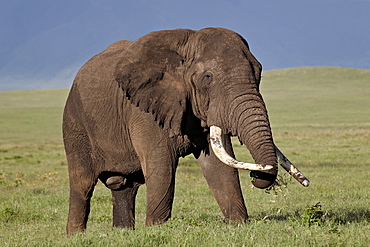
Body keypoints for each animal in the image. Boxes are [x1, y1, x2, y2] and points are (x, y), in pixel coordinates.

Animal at [63, 28, 310, 234]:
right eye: (207, 78)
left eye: (258, 72)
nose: (256, 175)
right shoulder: (145, 109)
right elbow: (161, 167)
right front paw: (156, 230)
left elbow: (219, 167)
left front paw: (238, 224)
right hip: (75, 122)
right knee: (82, 183)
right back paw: (76, 236)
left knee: (125, 187)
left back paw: (123, 234)